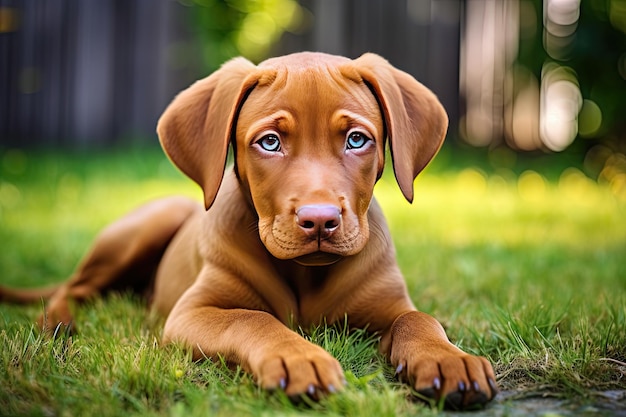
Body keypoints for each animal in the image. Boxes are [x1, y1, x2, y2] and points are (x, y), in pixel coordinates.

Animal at [2, 52, 494, 410]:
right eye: (270, 142)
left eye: (357, 139)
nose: (319, 220)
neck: (306, 274)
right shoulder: (191, 314)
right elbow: (252, 318)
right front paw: (300, 357)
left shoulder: (390, 304)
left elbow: (420, 318)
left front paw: (449, 360)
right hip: (143, 229)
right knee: (74, 287)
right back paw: (57, 324)